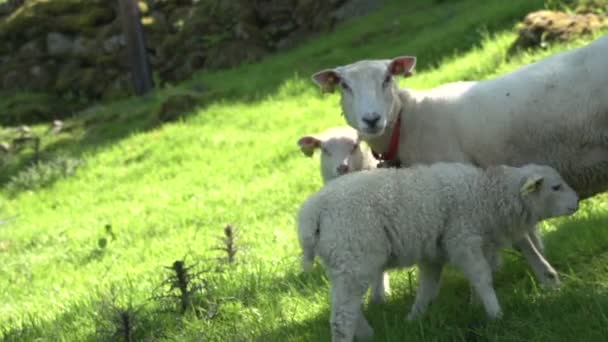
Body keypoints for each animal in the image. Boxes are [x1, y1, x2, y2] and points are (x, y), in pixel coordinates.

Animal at [300, 163, 580, 342]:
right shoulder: (462, 239)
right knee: (341, 318)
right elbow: (482, 278)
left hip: (342, 261)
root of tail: (313, 211)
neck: (487, 193)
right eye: (555, 187)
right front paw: (495, 314)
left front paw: (413, 319)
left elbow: (427, 288)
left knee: (344, 304)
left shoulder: (434, 254)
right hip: (354, 254)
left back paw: (368, 334)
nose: (577, 202)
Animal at [312, 32, 608, 288]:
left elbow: (521, 239)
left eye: (387, 78)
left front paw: (547, 279)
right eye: (344, 85)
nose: (372, 119)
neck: (408, 122)